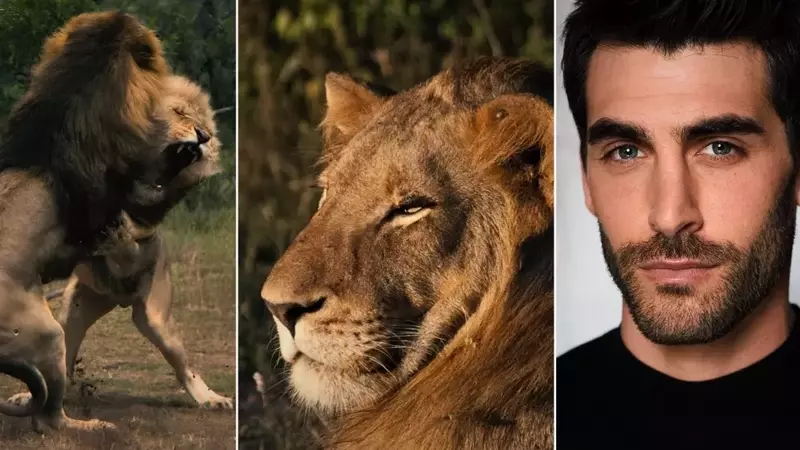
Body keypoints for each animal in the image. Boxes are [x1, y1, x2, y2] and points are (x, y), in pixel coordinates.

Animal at [10, 75, 233, 410]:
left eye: (203, 123)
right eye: (179, 112)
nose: (204, 137)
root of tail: (117, 298)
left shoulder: (144, 223)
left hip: (157, 320)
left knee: (184, 368)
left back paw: (211, 399)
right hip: (74, 313)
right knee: (63, 358)